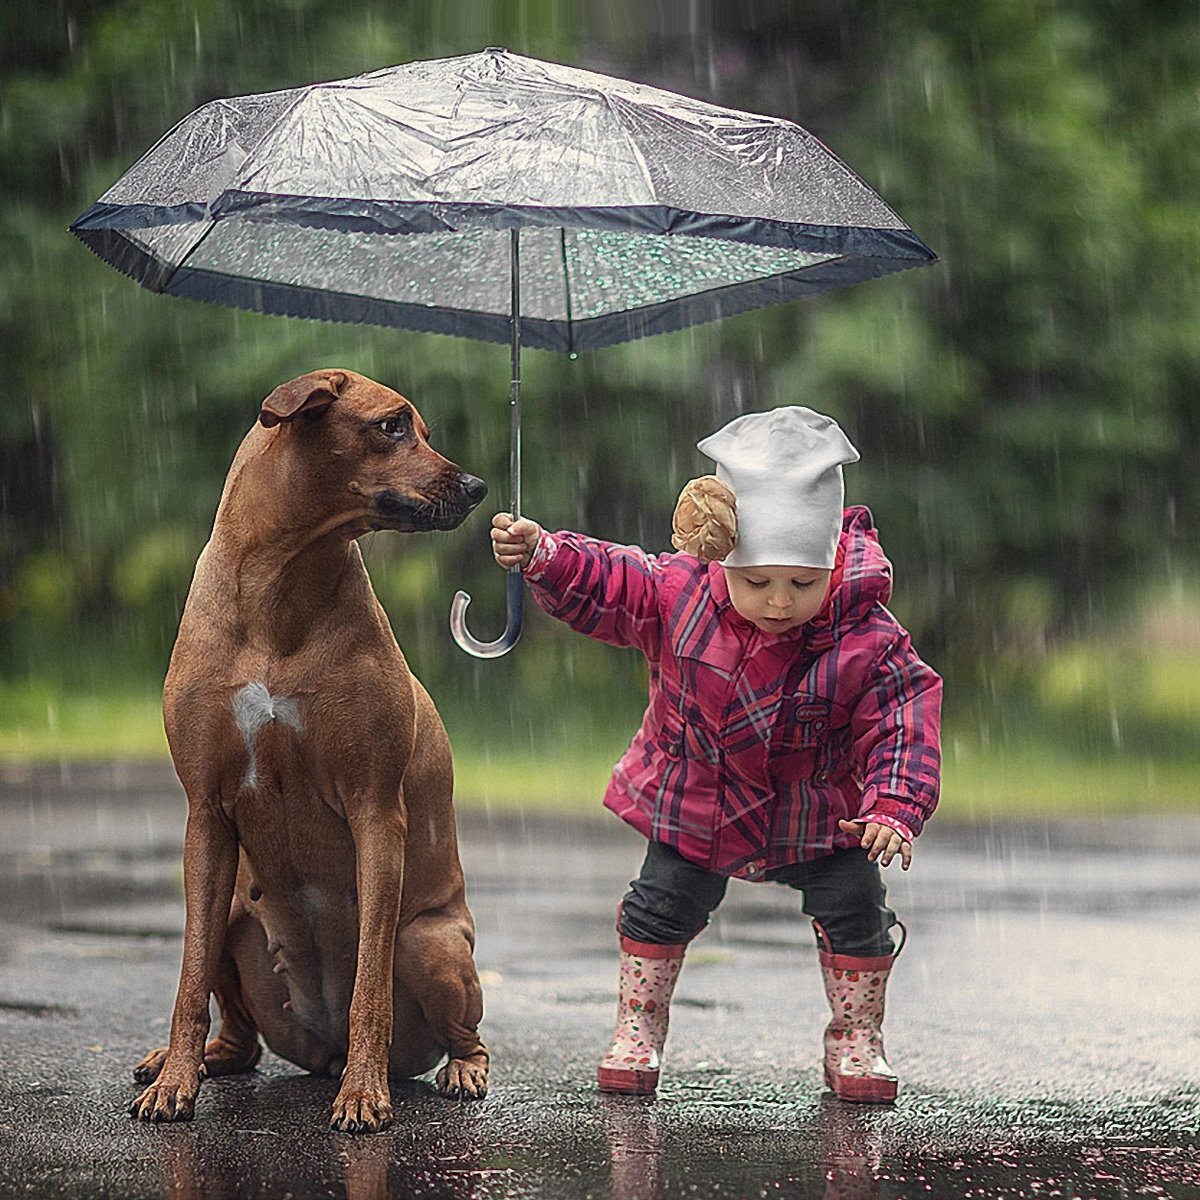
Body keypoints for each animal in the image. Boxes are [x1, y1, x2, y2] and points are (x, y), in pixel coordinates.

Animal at [129, 369, 489, 1128]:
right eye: (392, 426)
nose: (476, 487)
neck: (280, 585)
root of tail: (318, 1052)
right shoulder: (205, 815)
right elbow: (188, 978)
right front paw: (174, 1084)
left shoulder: (376, 811)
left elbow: (369, 986)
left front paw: (364, 1093)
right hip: (237, 912)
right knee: (238, 1035)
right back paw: (189, 1060)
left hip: (431, 941)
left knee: (461, 1030)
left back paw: (455, 1069)